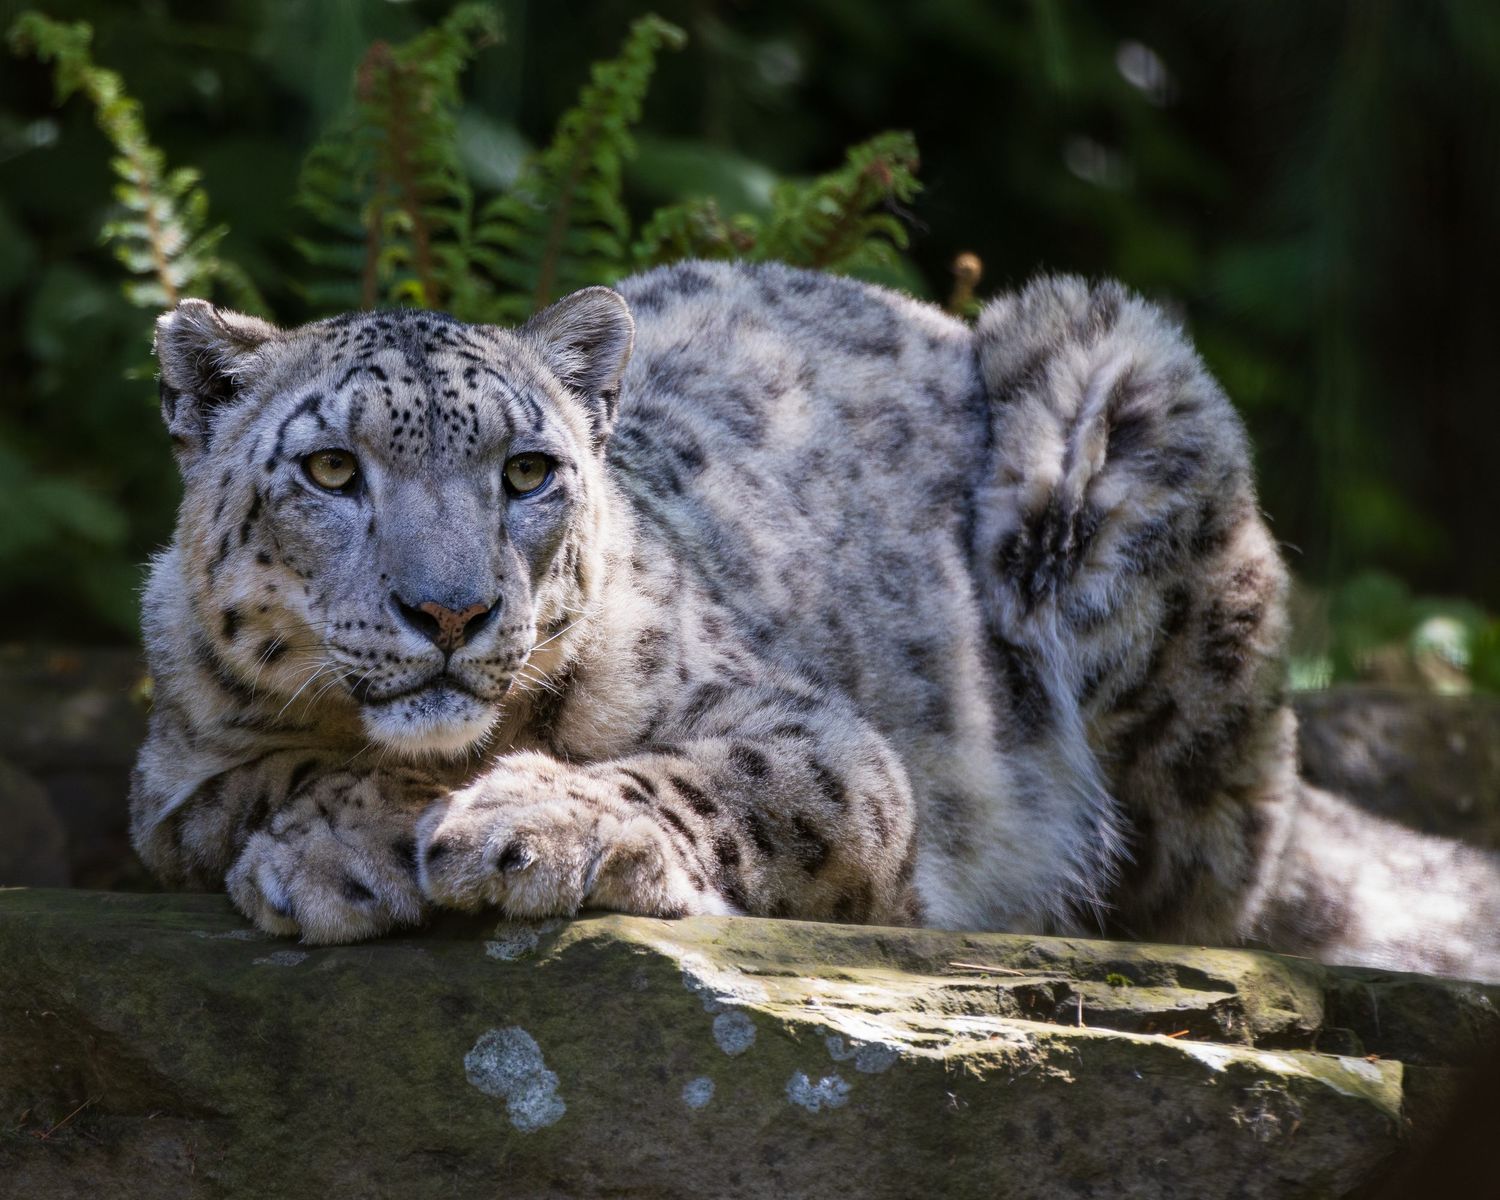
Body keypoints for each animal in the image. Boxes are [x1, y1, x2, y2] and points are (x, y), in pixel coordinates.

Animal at [130, 259, 1500, 982]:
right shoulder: (176, 776)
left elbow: (719, 779)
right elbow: (262, 780)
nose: (452, 609)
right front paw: (338, 840)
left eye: (527, 471)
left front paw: (516, 827)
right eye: (330, 471)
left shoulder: (823, 744)